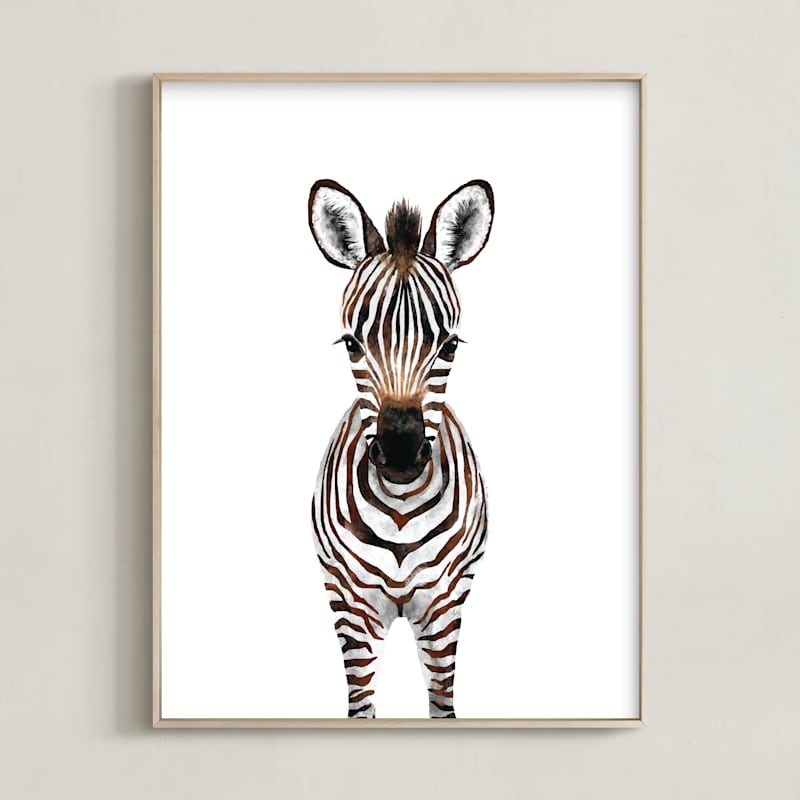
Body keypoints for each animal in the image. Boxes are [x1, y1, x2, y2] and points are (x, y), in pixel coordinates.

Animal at [308, 179, 494, 719]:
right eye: (351, 344)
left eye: (450, 346)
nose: (401, 455)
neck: (401, 509)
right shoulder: (351, 604)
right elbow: (361, 706)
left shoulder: (444, 603)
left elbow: (442, 704)